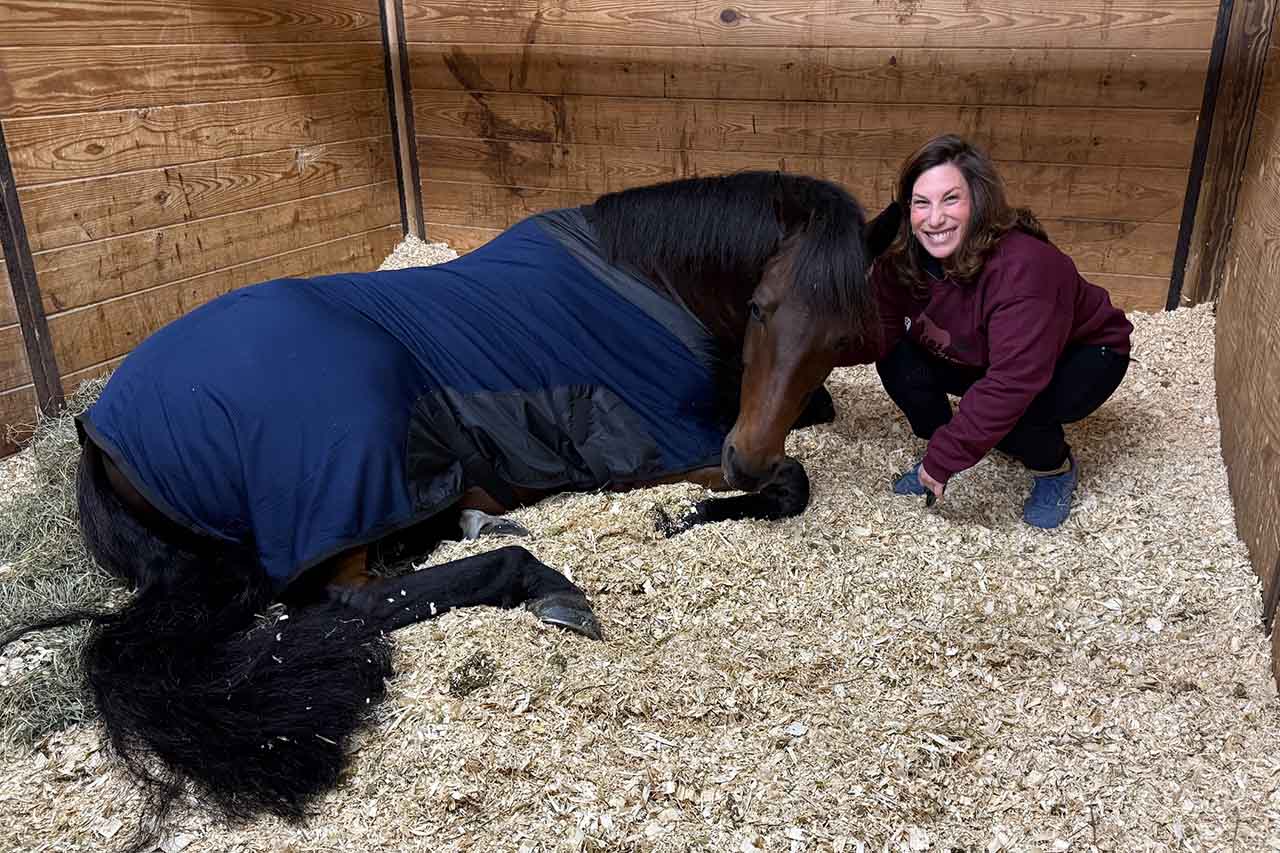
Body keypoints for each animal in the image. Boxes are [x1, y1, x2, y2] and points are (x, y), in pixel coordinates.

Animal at [1, 170, 899, 846]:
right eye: (761, 308)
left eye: (841, 336)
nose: (744, 455)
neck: (650, 280)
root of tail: (99, 436)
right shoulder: (648, 441)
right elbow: (789, 484)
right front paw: (683, 517)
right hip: (353, 451)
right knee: (350, 600)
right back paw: (533, 574)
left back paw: (479, 520)